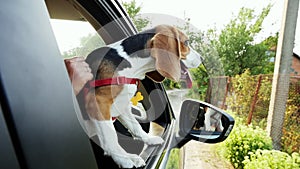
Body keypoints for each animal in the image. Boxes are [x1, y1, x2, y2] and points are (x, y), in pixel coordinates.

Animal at [80, 24, 202, 168]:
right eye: (187, 43)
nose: (202, 58)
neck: (130, 64)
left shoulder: (122, 104)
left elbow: (135, 126)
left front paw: (148, 139)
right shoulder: (98, 103)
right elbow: (111, 137)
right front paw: (124, 158)